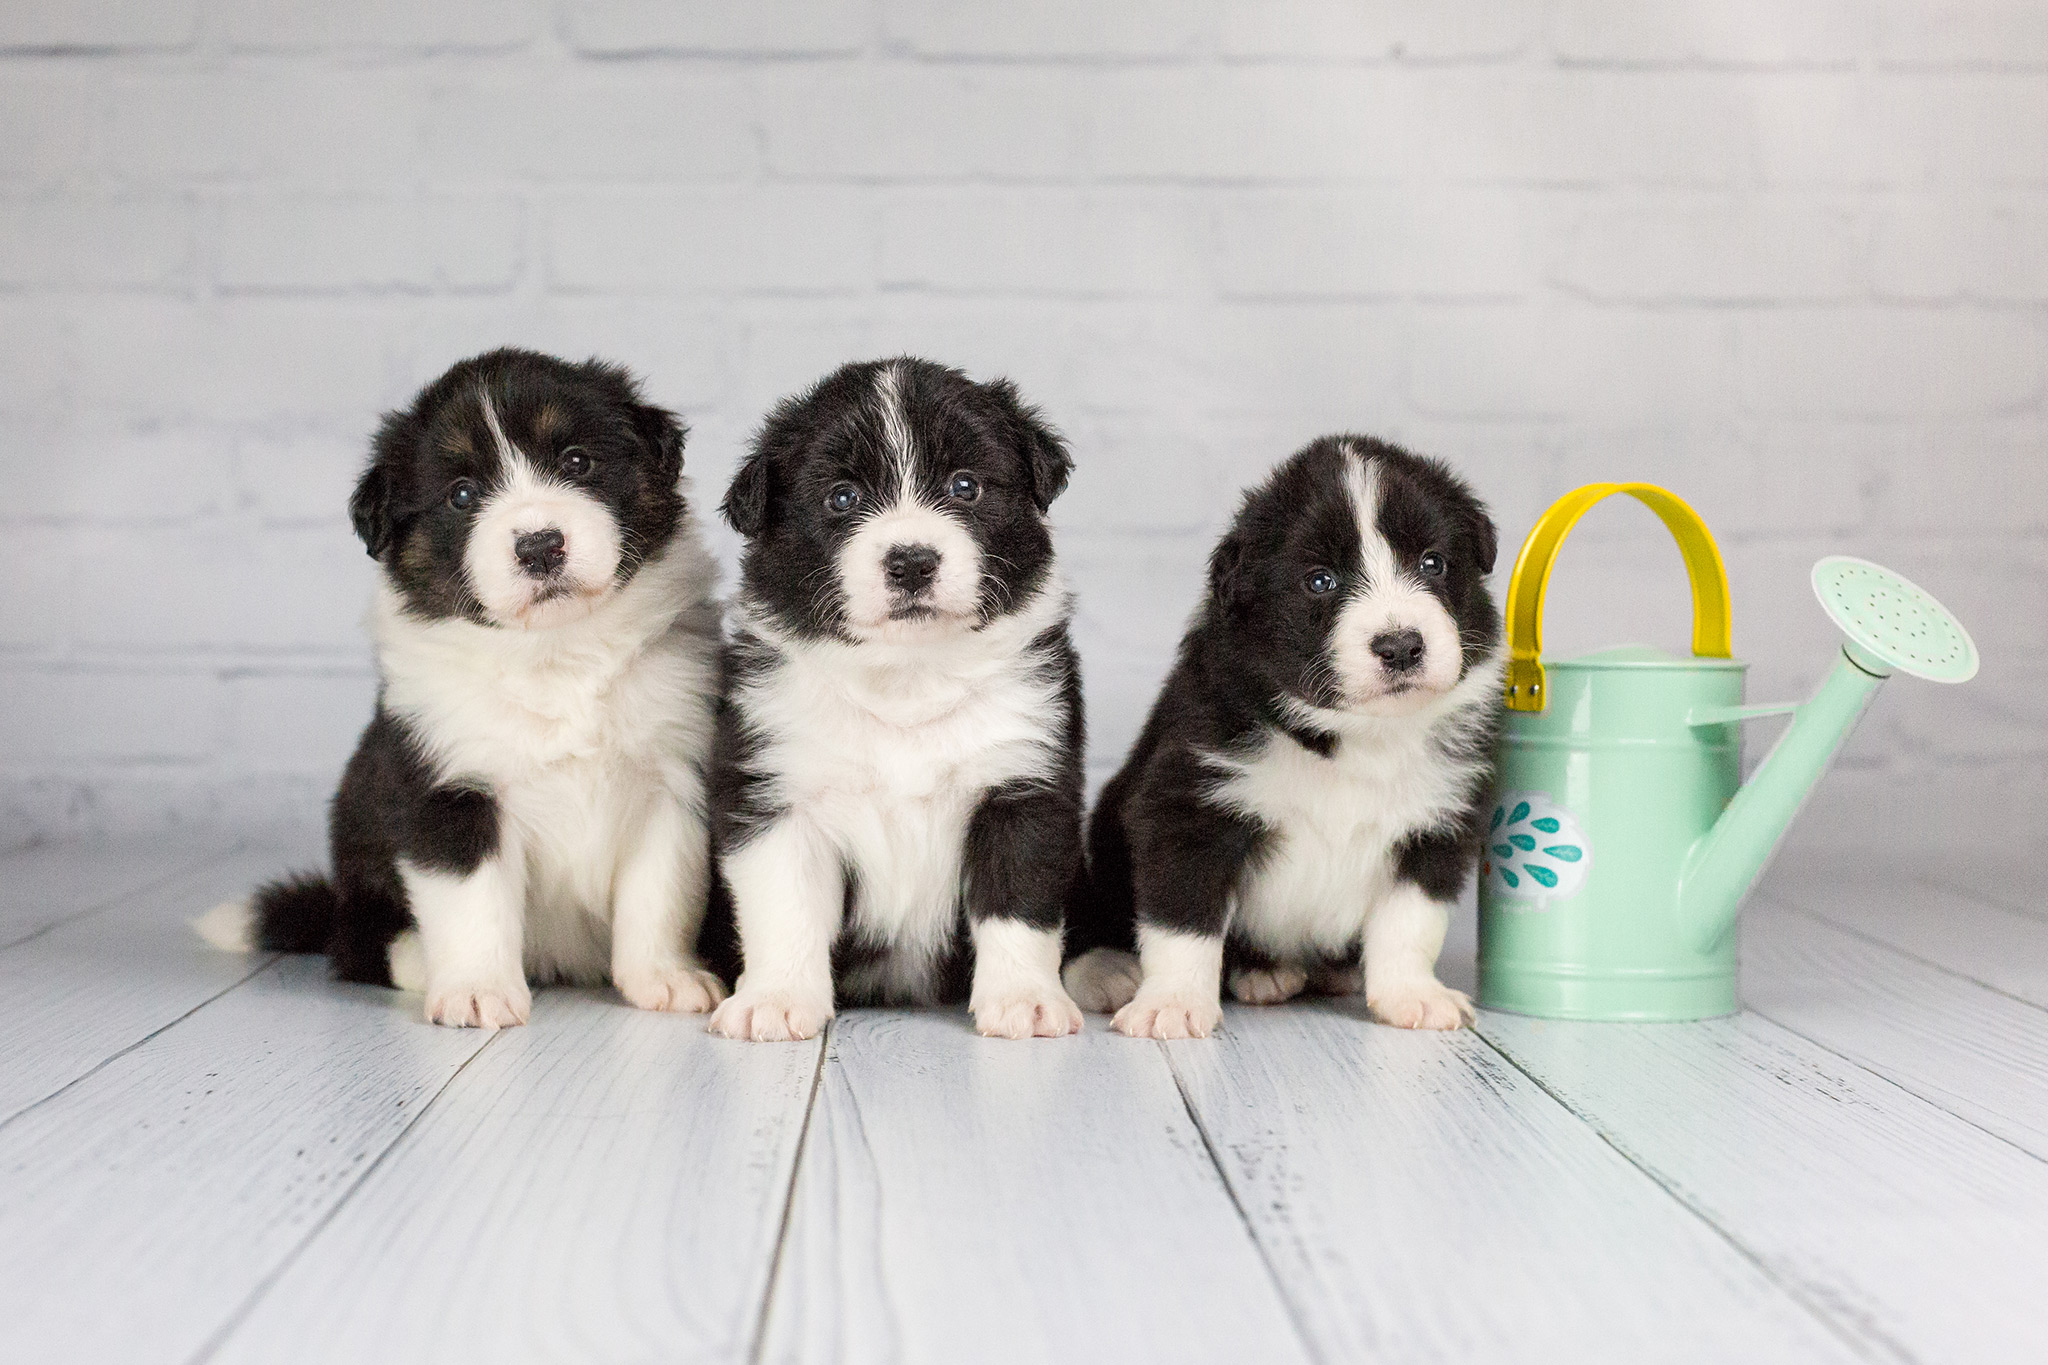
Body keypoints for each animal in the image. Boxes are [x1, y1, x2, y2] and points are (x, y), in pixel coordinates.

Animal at [197, 347, 729, 1031]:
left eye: (576, 461)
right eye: (462, 494)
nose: (539, 545)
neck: (555, 654)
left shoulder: (670, 780)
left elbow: (659, 896)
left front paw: (664, 978)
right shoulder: (447, 789)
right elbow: (471, 903)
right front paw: (477, 993)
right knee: (357, 945)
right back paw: (419, 961)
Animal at [700, 358, 1089, 1039]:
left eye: (965, 486)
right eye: (843, 497)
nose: (911, 561)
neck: (907, 676)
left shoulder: (1023, 786)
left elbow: (1018, 903)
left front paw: (1024, 999)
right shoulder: (774, 792)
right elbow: (785, 905)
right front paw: (775, 999)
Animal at [1073, 437, 1507, 1047]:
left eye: (1432, 562)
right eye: (1320, 580)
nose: (1401, 646)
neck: (1355, 736)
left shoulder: (1438, 824)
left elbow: (1410, 920)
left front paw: (1413, 996)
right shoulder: (1191, 806)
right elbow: (1183, 919)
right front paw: (1172, 1004)